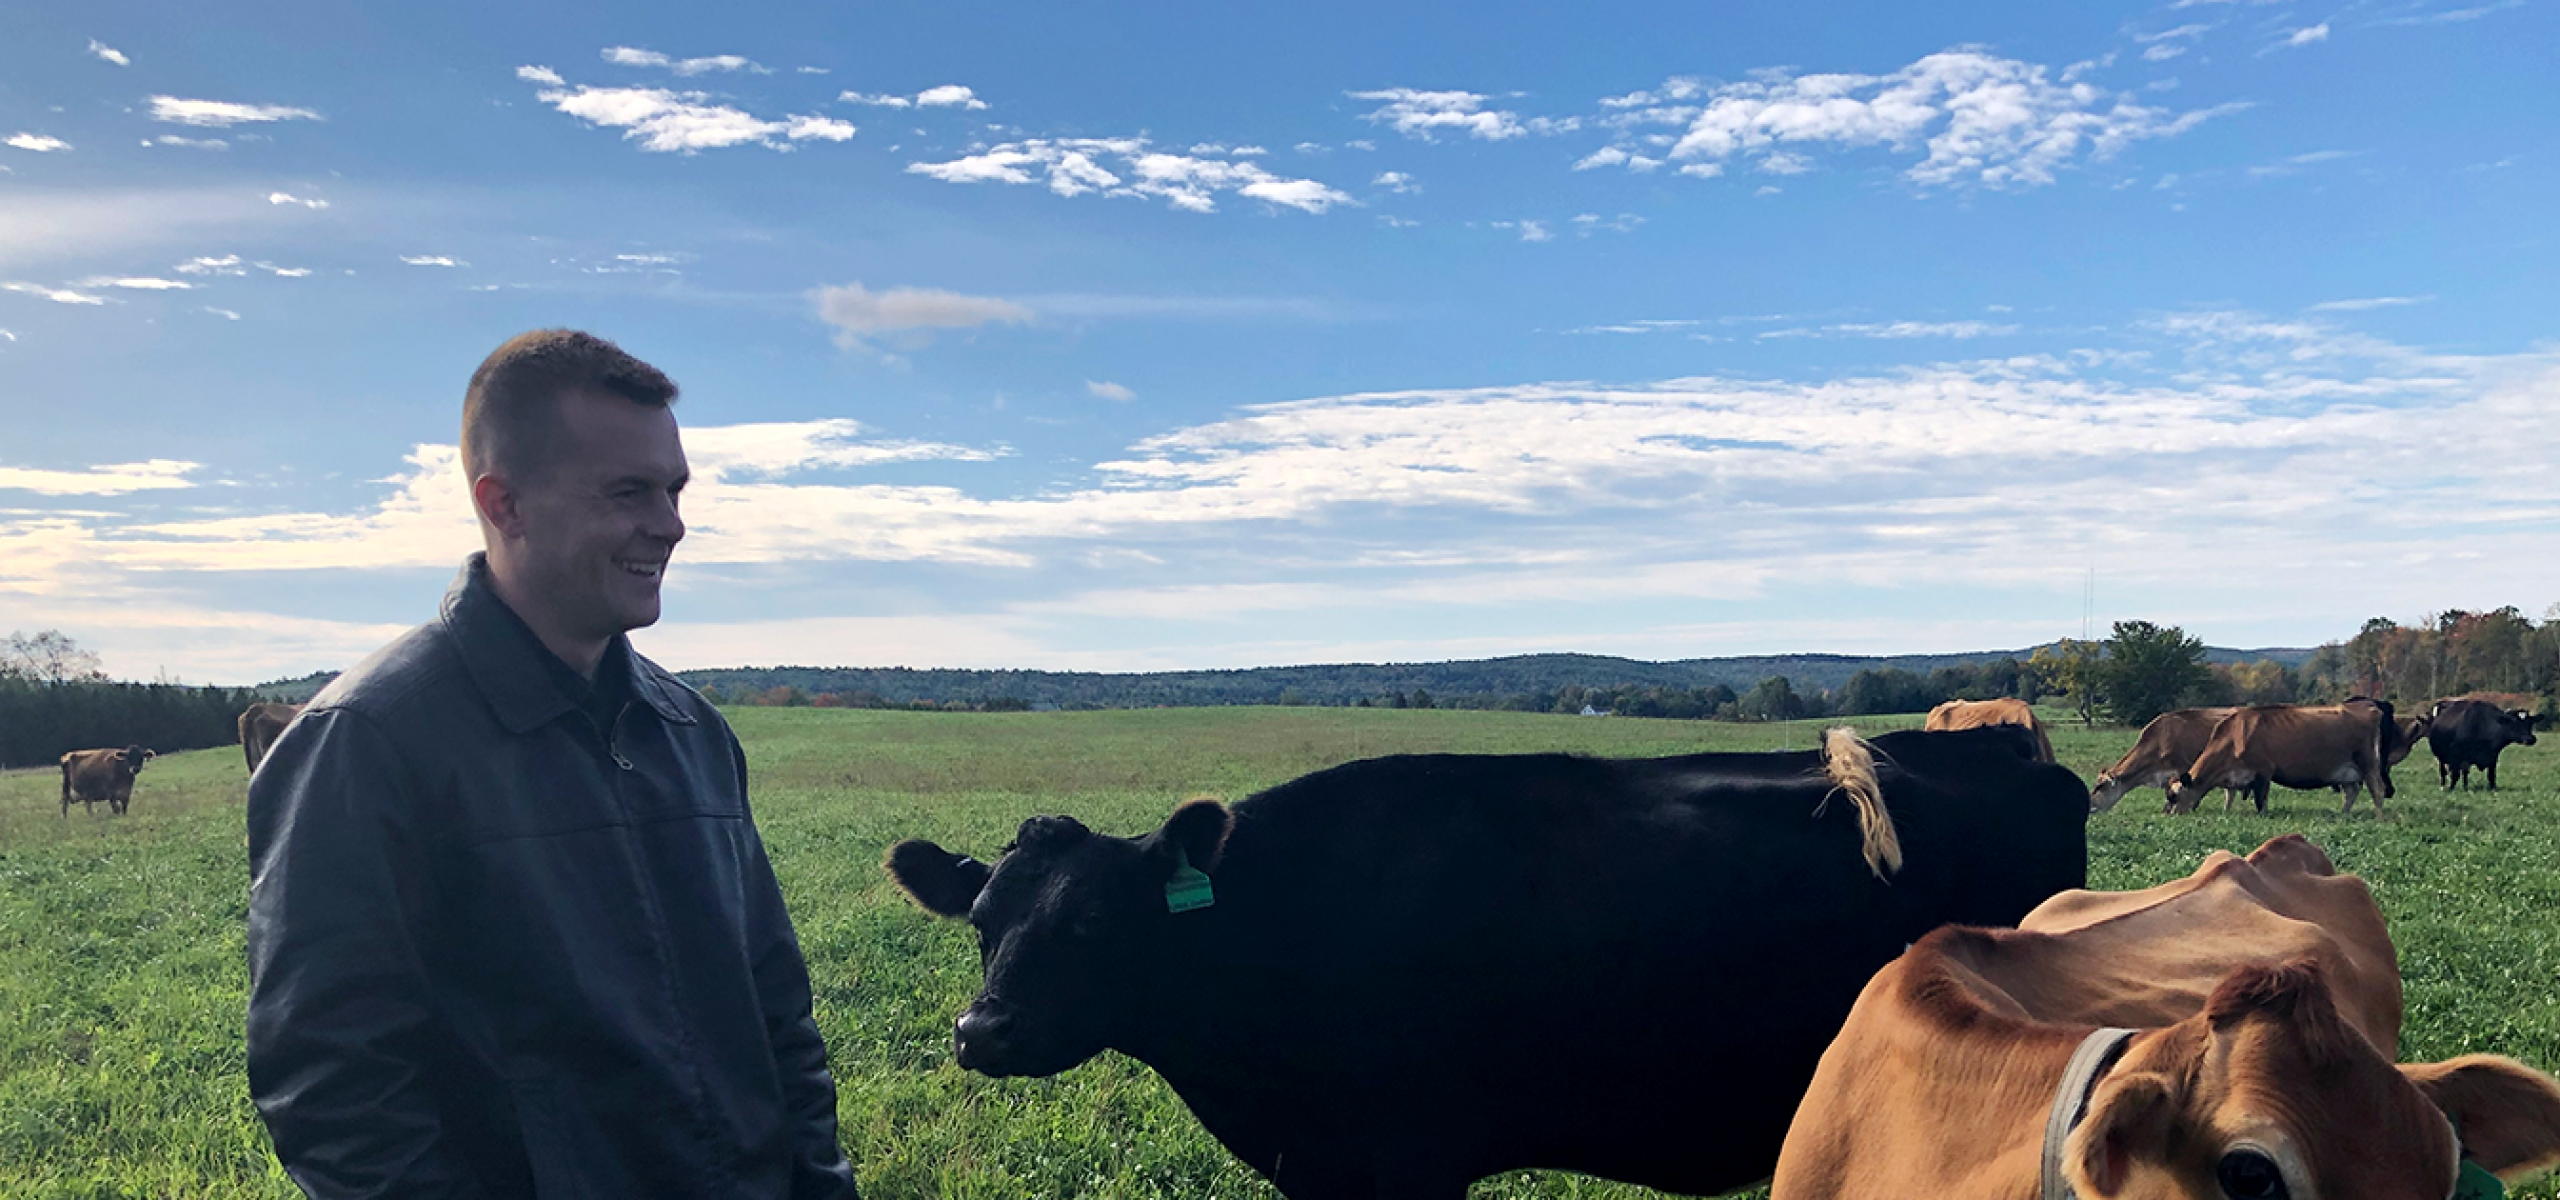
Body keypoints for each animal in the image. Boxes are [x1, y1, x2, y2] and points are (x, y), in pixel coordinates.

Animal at [2160, 695, 2396, 818]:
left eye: (2173, 796)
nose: (2167, 813)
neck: (2235, 736)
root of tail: (2368, 706)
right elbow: (2231, 797)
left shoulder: (2264, 771)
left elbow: (2261, 799)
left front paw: (2263, 815)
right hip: (2346, 770)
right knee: (2352, 791)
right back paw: (2343, 814)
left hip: (2368, 762)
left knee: (2377, 790)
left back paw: (2379, 817)